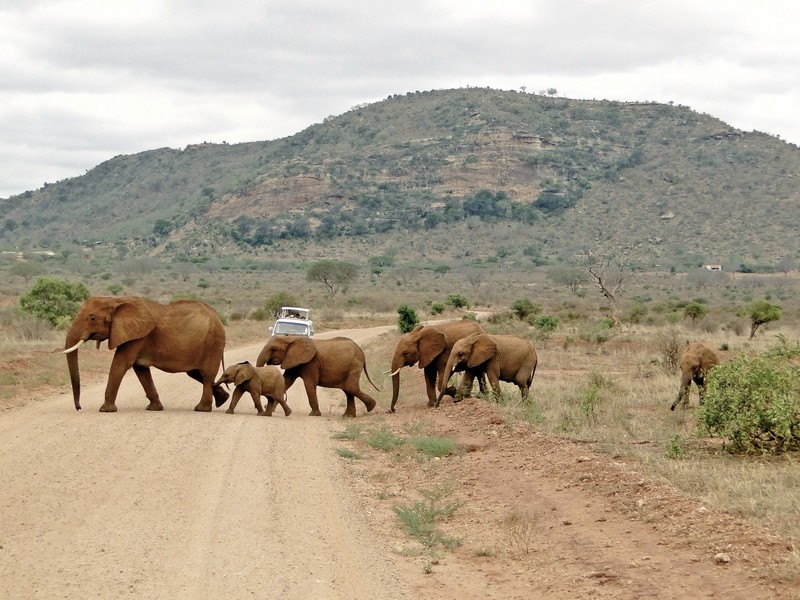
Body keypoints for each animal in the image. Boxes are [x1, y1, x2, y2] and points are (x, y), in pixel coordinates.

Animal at [60, 296, 225, 412]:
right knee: (195, 373)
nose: (79, 408)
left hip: (212, 342)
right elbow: (140, 369)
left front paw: (105, 410)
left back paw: (202, 409)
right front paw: (154, 409)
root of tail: (217, 316)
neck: (115, 300)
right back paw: (222, 399)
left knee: (207, 374)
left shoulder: (138, 336)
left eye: (92, 318)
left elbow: (121, 364)